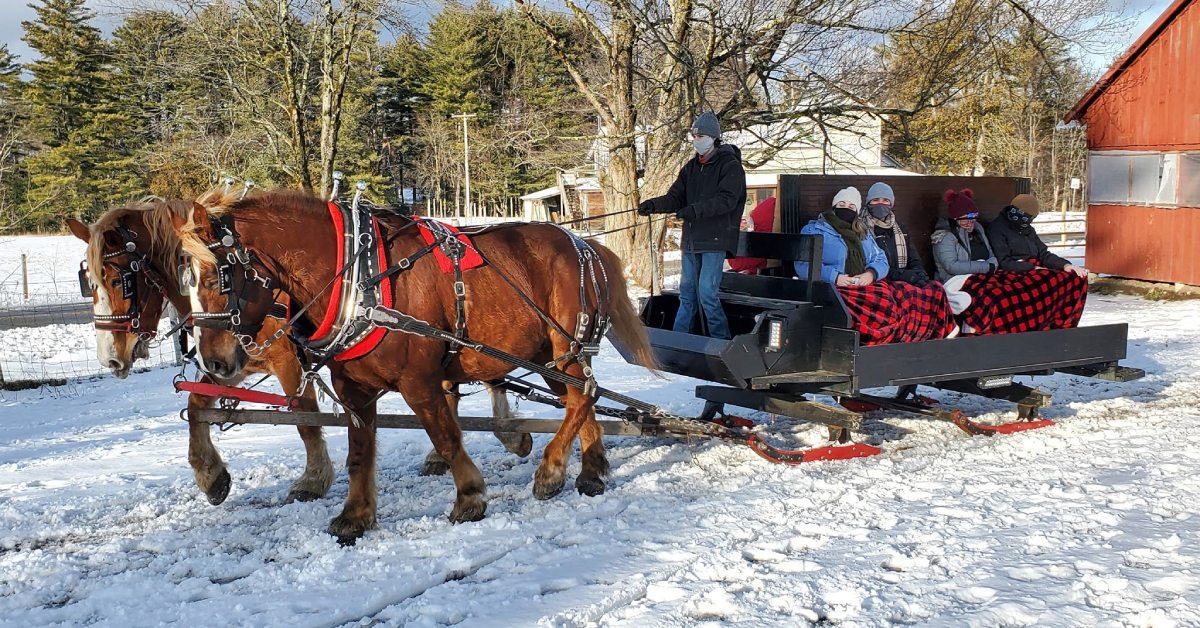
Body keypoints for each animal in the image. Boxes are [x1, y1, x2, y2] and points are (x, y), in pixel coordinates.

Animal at [175, 189, 657, 542]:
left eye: (217, 278)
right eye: (184, 284)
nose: (214, 360)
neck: (359, 280)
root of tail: (586, 244)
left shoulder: (419, 381)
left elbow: (445, 435)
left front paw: (469, 497)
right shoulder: (352, 388)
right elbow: (358, 452)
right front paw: (355, 515)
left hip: (566, 348)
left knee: (582, 397)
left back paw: (552, 471)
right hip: (546, 356)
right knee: (583, 399)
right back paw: (590, 470)